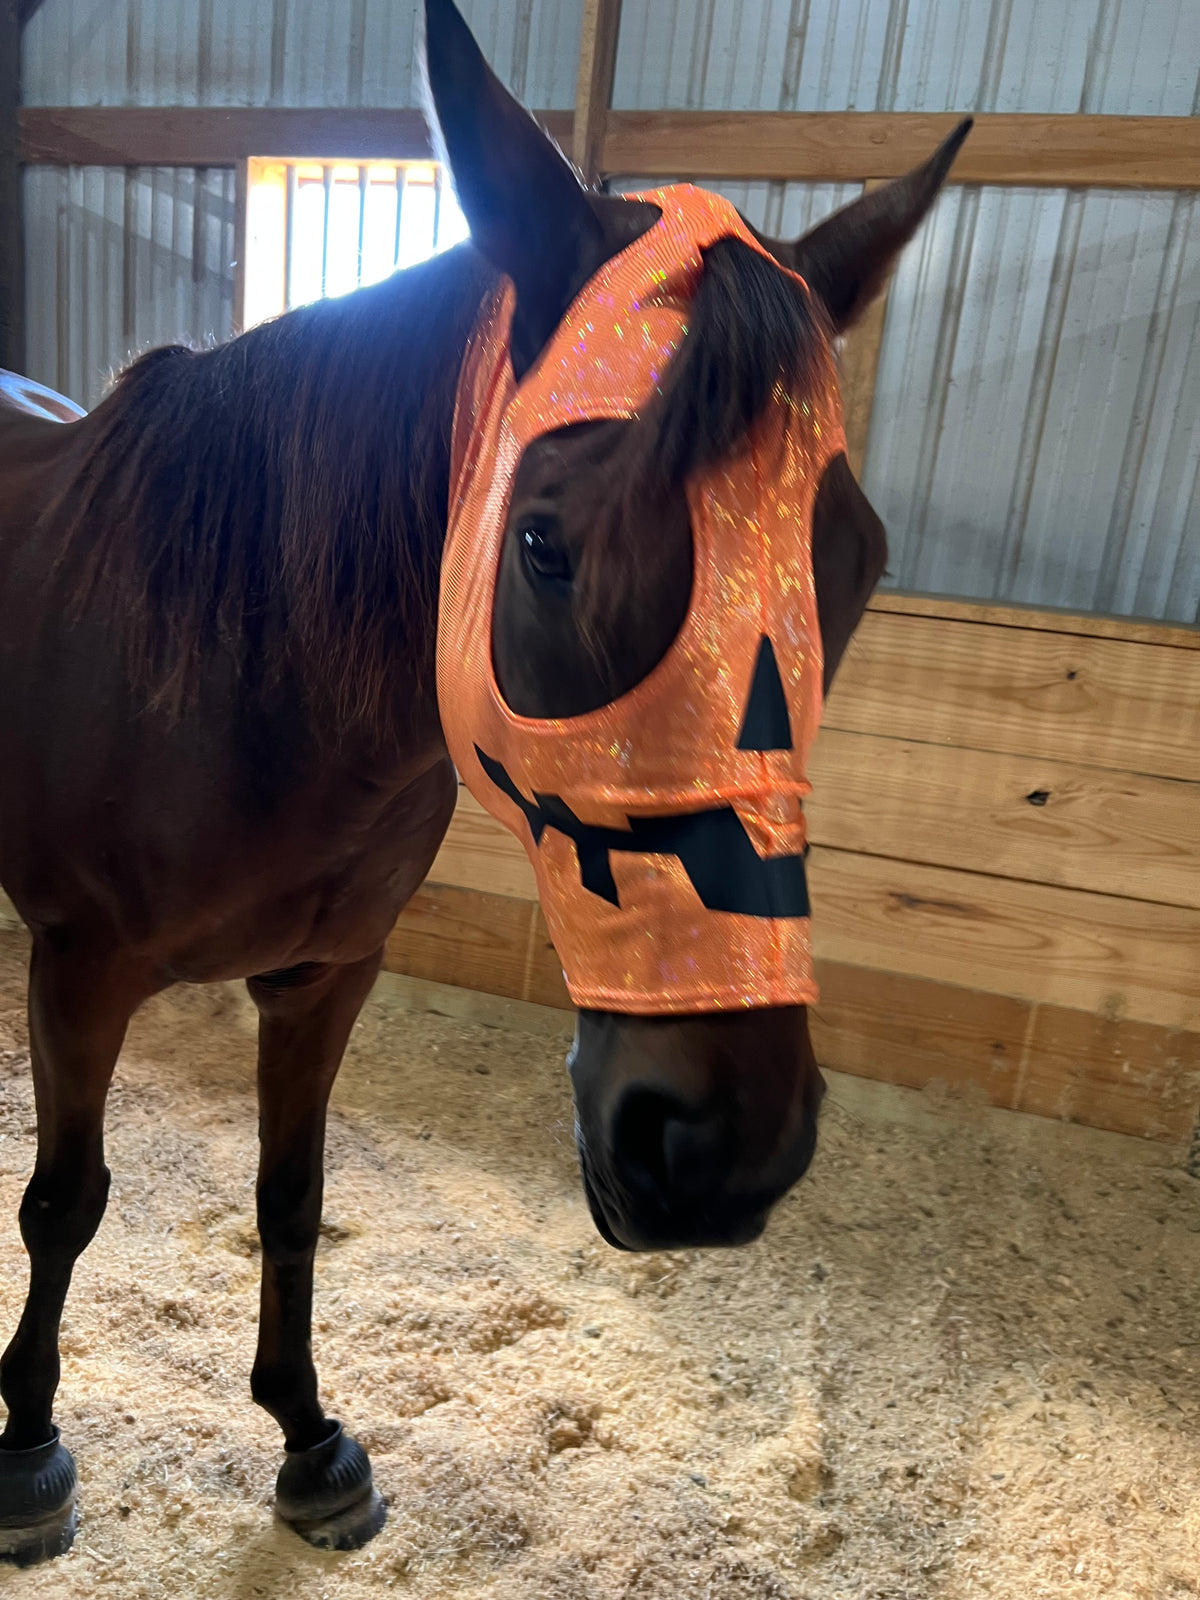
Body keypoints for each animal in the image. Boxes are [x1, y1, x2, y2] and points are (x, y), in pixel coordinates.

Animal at [0, 0, 967, 1563]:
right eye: (545, 544)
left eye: (858, 561)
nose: (723, 1145)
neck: (228, 671)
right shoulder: (79, 972)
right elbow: (65, 1203)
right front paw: (26, 1450)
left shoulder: (326, 977)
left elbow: (291, 1199)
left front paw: (308, 1436)